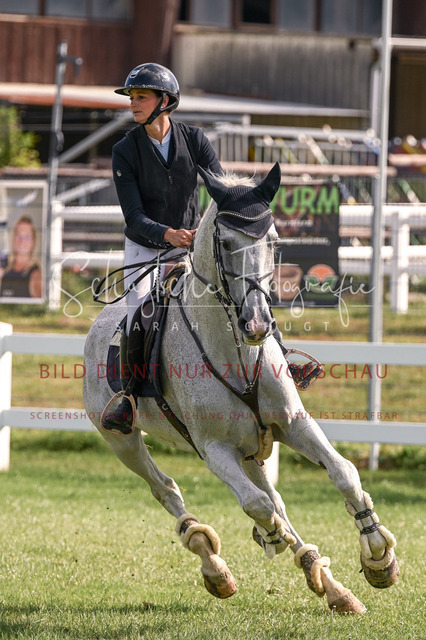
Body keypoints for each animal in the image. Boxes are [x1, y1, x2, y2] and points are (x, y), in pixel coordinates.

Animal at [83, 163, 398, 614]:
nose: (257, 323)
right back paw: (216, 566)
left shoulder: (293, 424)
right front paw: (271, 537)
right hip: (121, 439)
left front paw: (377, 555)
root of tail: (97, 326)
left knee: (273, 497)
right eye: (227, 242)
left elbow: (343, 473)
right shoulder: (214, 449)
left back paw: (332, 586)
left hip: (252, 447)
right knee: (168, 490)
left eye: (274, 241)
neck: (238, 353)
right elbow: (257, 504)